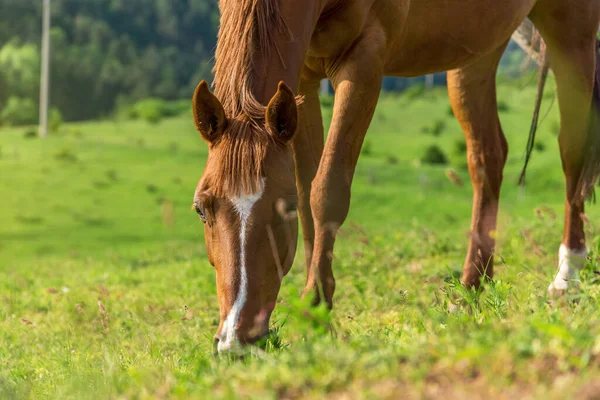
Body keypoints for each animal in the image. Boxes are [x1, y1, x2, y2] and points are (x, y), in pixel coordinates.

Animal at [191, 0, 600, 352]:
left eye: (281, 209)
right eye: (201, 208)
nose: (235, 340)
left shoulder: (363, 62)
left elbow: (326, 192)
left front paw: (315, 311)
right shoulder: (303, 80)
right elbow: (308, 194)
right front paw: (315, 306)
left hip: (571, 30)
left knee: (572, 150)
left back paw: (567, 276)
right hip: (479, 47)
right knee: (488, 157)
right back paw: (470, 290)